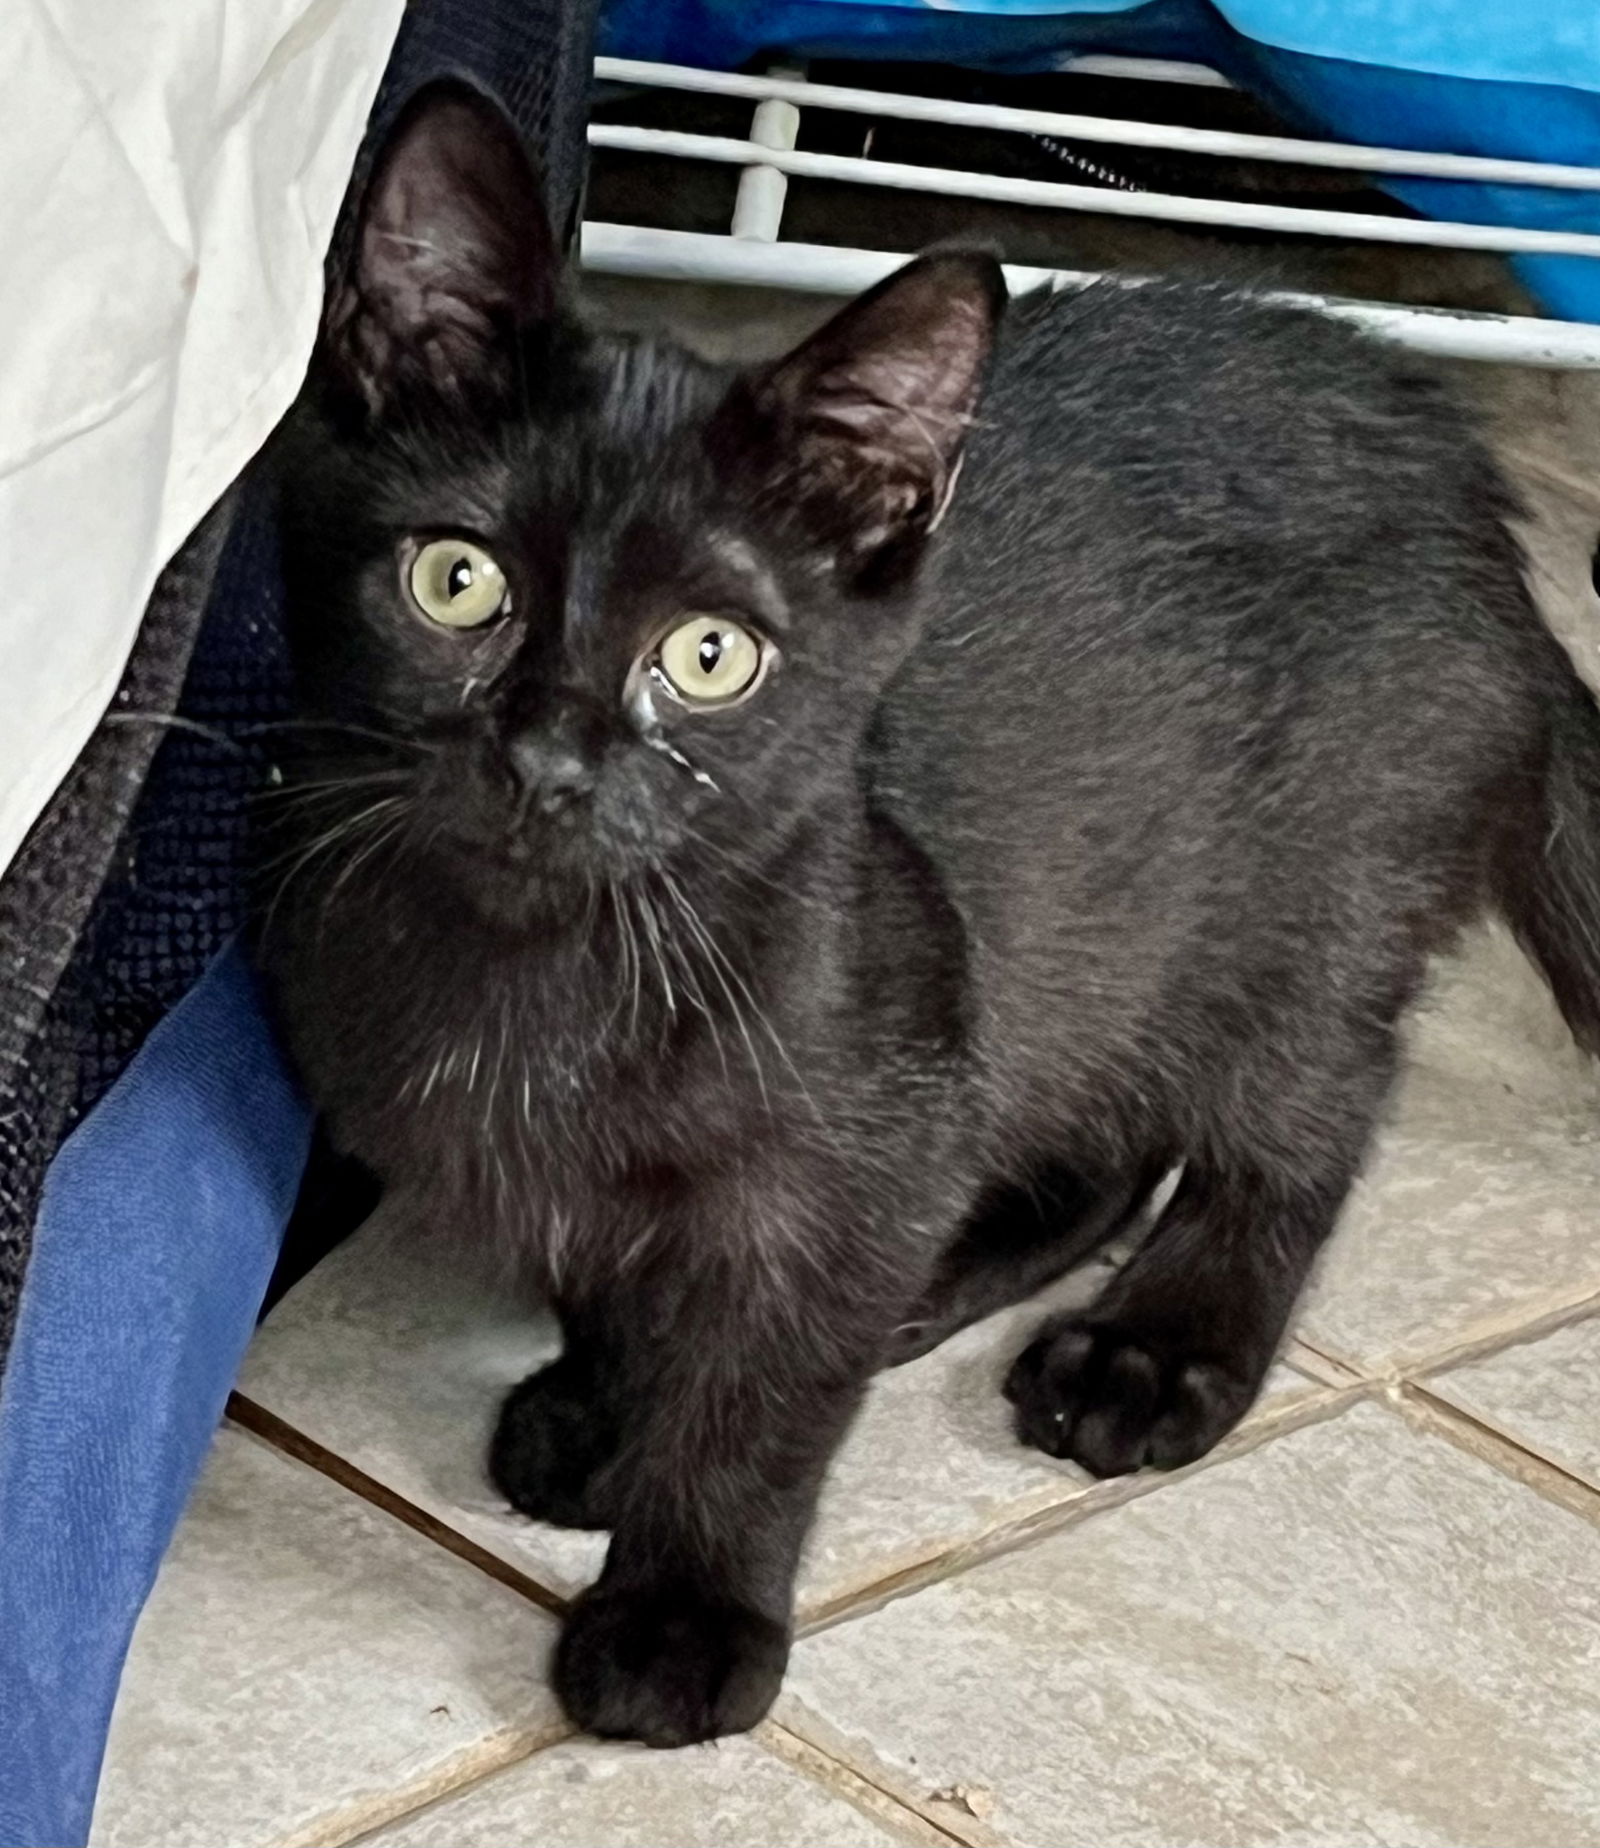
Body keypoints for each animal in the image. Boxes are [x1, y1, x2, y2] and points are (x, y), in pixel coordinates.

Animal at [254, 83, 1596, 1744]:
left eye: (711, 657)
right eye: (456, 581)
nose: (552, 765)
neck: (545, 979)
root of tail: (1462, 481)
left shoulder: (876, 1097)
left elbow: (766, 1395)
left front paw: (683, 1609)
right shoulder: (908, 1066)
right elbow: (632, 1278)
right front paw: (614, 1404)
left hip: (1311, 898)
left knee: (1304, 1117)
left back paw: (1158, 1347)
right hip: (1091, 943)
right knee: (1096, 1144)